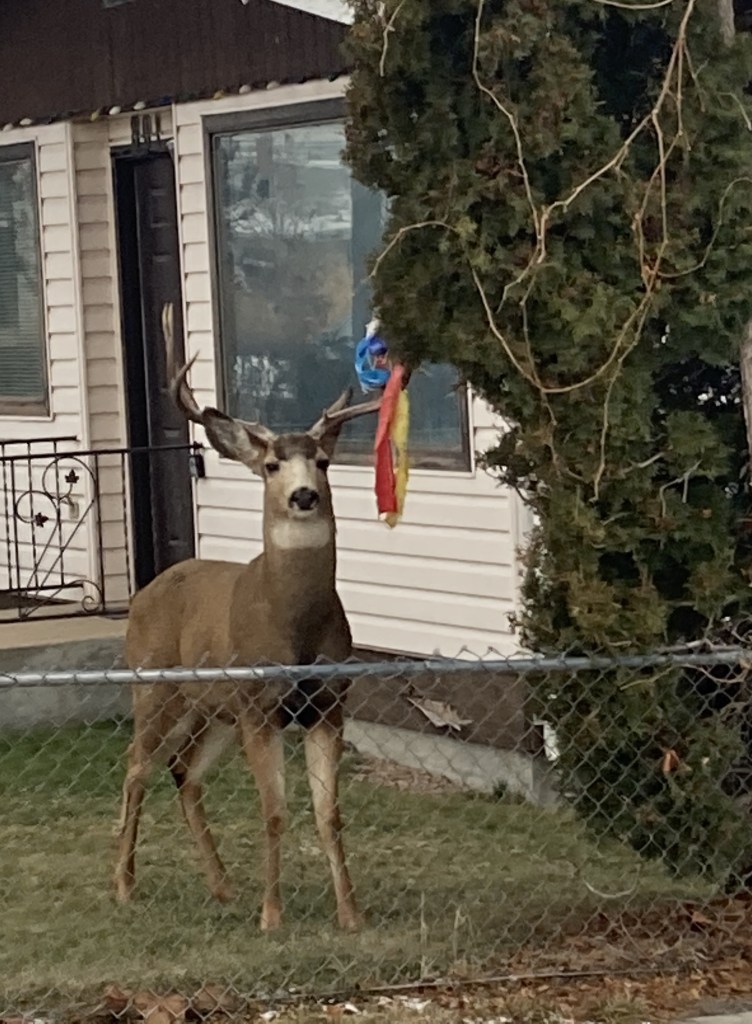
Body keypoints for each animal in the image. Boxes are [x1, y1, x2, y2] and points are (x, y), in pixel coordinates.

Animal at [113, 304, 382, 932]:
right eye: (271, 464)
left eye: (323, 460)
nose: (305, 496)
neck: (294, 626)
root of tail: (144, 593)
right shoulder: (260, 705)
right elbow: (275, 810)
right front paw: (272, 916)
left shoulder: (328, 705)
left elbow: (329, 814)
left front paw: (351, 914)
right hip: (154, 685)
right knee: (136, 767)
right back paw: (124, 885)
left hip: (212, 708)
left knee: (183, 771)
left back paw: (222, 886)